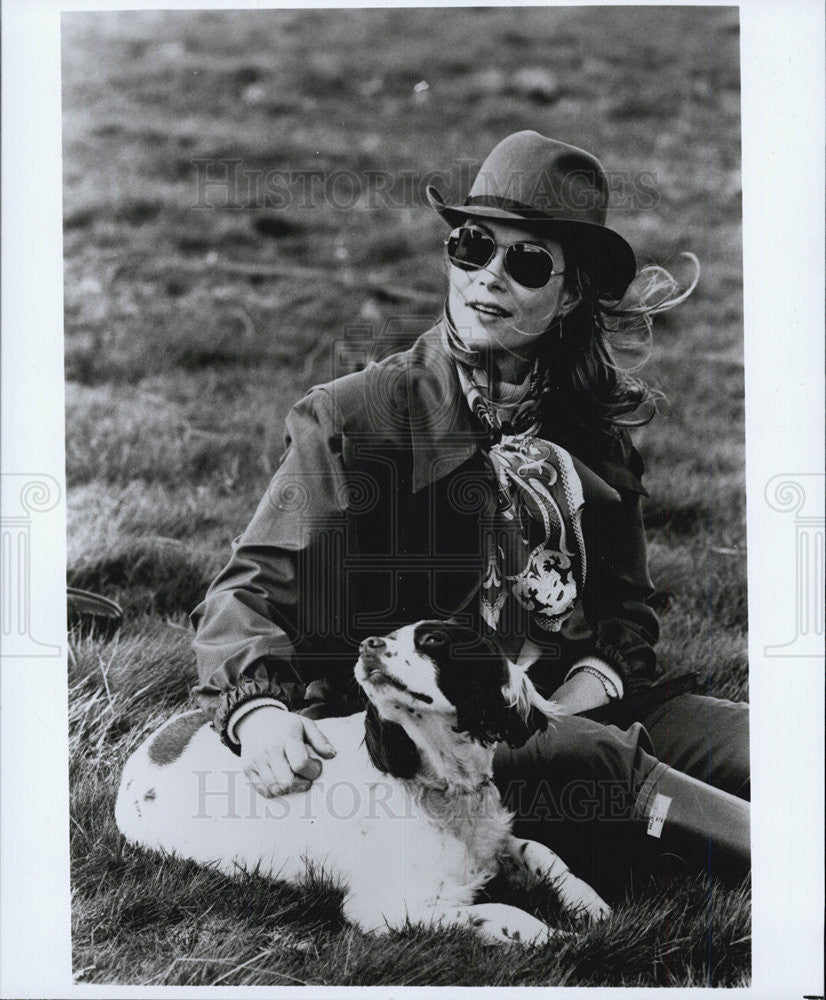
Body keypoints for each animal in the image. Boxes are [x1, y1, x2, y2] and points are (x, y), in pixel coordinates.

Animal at [114, 620, 604, 940]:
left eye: (433, 639)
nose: (369, 644)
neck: (440, 785)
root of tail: (148, 745)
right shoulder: (382, 907)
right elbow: (496, 910)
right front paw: (547, 933)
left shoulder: (493, 841)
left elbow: (544, 852)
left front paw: (590, 904)